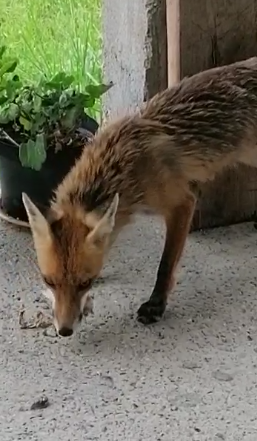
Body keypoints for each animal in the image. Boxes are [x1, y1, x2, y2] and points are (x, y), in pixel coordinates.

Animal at [22, 56, 257, 336]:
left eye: (84, 282)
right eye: (49, 280)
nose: (65, 330)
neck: (121, 165)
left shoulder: (181, 202)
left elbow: (165, 265)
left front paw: (156, 304)